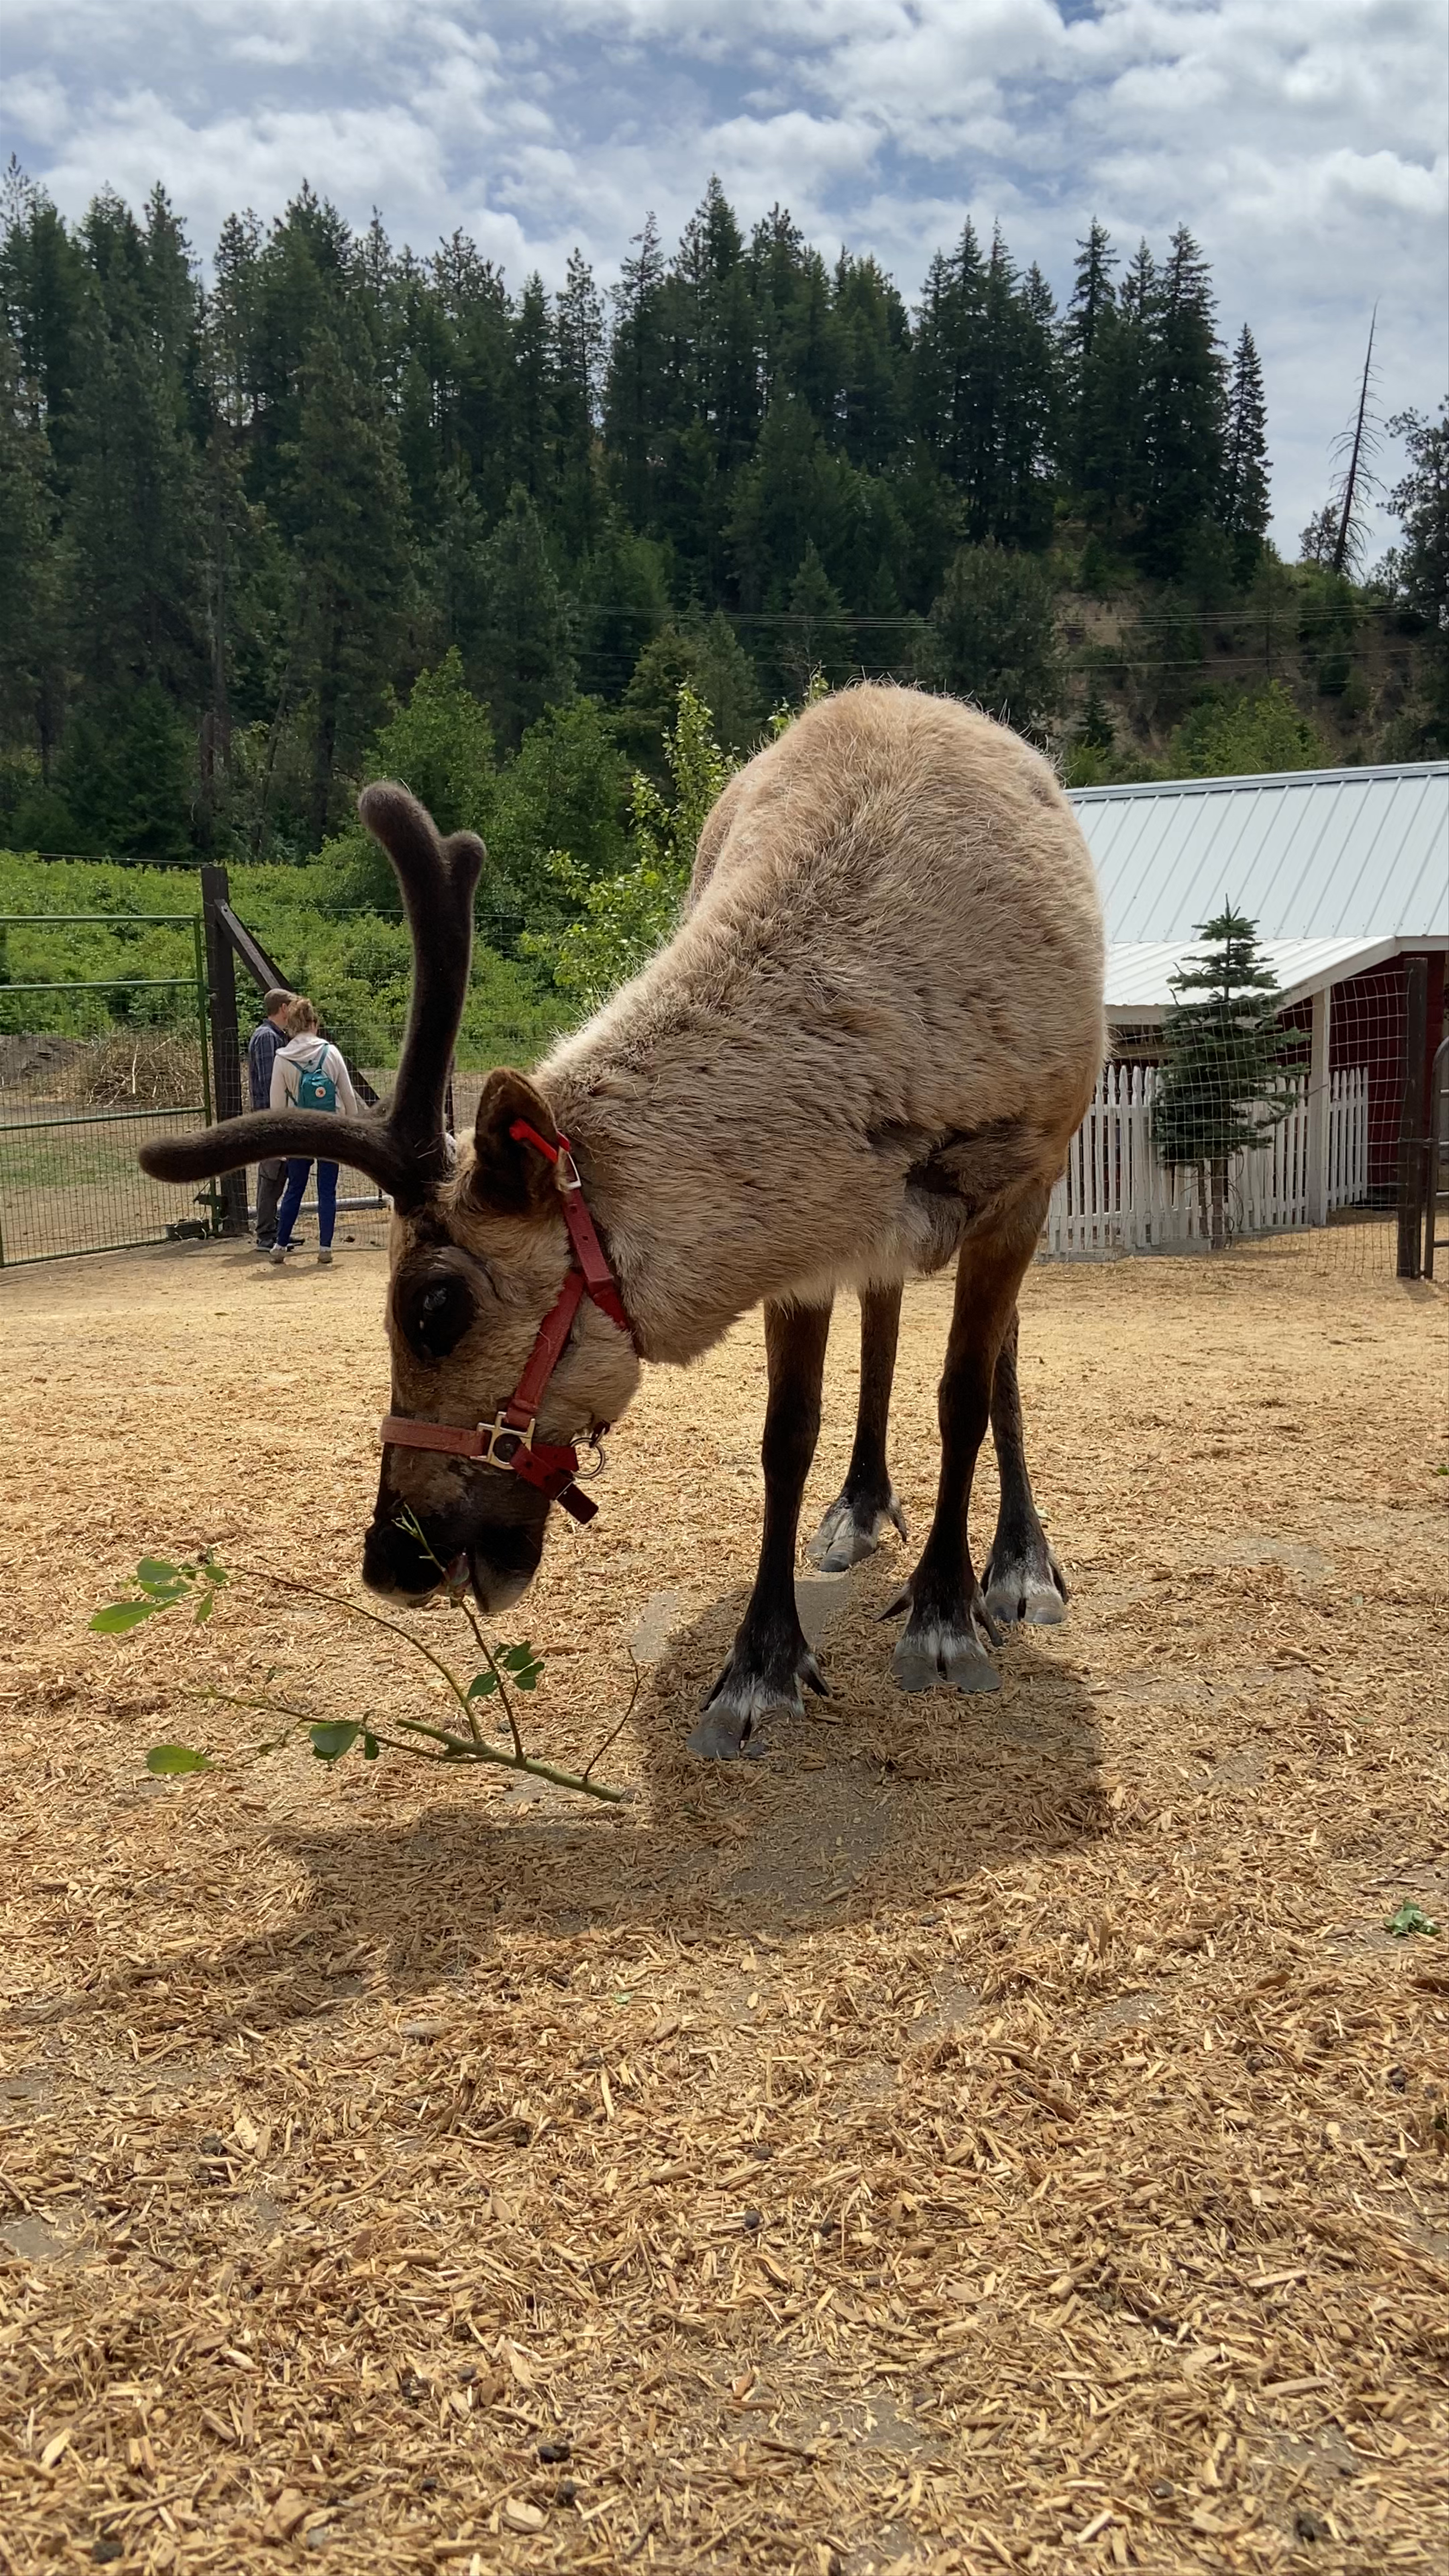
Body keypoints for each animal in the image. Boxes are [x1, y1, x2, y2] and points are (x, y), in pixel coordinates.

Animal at [142, 684, 1105, 1759]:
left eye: (434, 1307)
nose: (393, 1558)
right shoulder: (805, 1231)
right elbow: (786, 1433)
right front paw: (760, 1662)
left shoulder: (1013, 1189)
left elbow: (963, 1399)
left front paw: (944, 1613)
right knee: (885, 1321)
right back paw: (859, 1507)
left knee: (996, 1361)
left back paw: (1018, 1563)